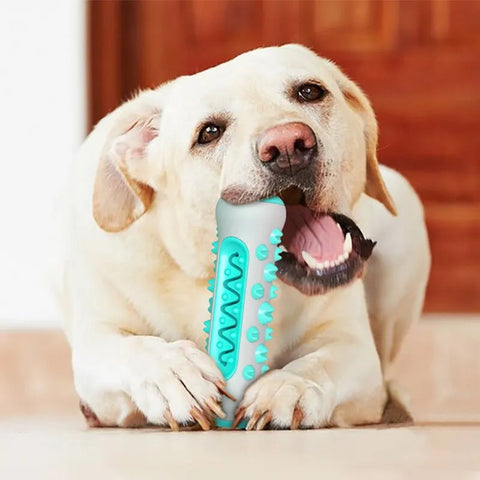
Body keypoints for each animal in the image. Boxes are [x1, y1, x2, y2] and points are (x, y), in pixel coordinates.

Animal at [58, 44, 430, 428]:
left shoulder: (353, 346)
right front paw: (174, 372)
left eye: (310, 92)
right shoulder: (96, 343)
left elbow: (319, 363)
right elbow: (133, 348)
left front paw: (289, 386)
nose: (288, 146)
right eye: (209, 132)